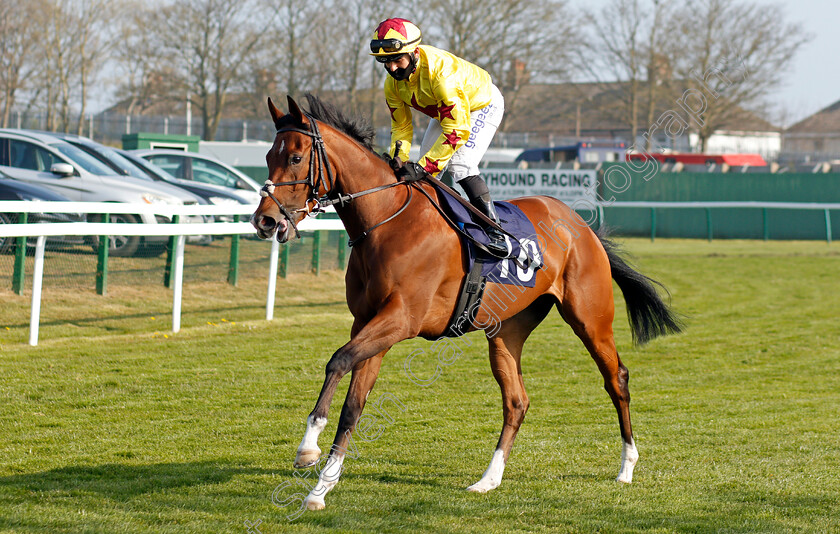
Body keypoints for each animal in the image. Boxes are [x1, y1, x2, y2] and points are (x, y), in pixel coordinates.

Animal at [249, 94, 684, 512]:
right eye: (268, 156)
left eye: (295, 157)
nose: (264, 221)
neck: (387, 221)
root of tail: (582, 225)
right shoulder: (370, 323)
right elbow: (353, 406)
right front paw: (320, 490)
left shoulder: (401, 320)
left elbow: (337, 360)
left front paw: (308, 448)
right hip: (507, 331)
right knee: (516, 401)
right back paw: (488, 479)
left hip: (590, 319)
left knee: (616, 379)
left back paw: (626, 466)